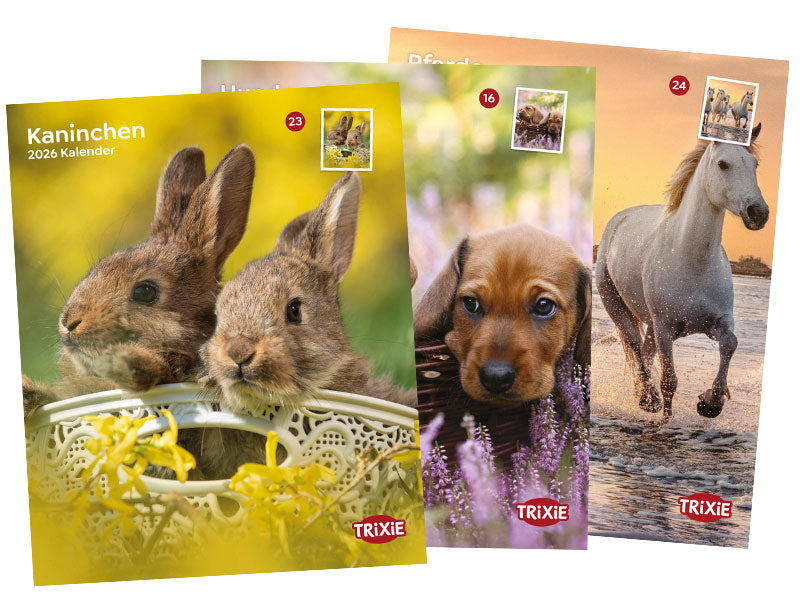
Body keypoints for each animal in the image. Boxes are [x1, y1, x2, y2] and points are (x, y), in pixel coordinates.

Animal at [595, 123, 768, 421]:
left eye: (754, 163)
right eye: (723, 164)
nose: (758, 212)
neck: (692, 259)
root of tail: (618, 220)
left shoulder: (718, 322)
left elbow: (730, 343)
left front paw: (710, 402)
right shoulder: (665, 328)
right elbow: (669, 382)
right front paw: (665, 417)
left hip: (650, 324)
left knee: (644, 353)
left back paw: (642, 395)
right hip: (616, 305)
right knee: (634, 347)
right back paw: (647, 399)